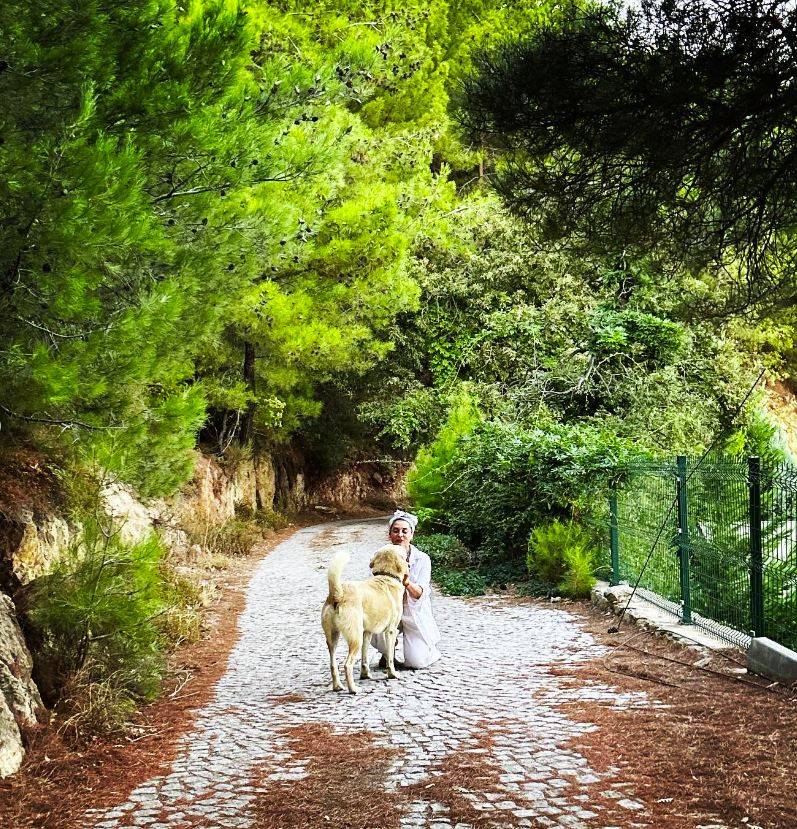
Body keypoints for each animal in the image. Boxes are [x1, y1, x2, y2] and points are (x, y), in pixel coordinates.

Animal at [322, 544, 410, 692]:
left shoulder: (367, 633)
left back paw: (338, 687)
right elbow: (390, 657)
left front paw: (365, 675)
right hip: (355, 638)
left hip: (333, 638)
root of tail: (338, 595)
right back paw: (353, 689)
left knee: (333, 664)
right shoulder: (391, 631)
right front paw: (392, 674)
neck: (386, 576)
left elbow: (365, 657)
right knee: (347, 665)